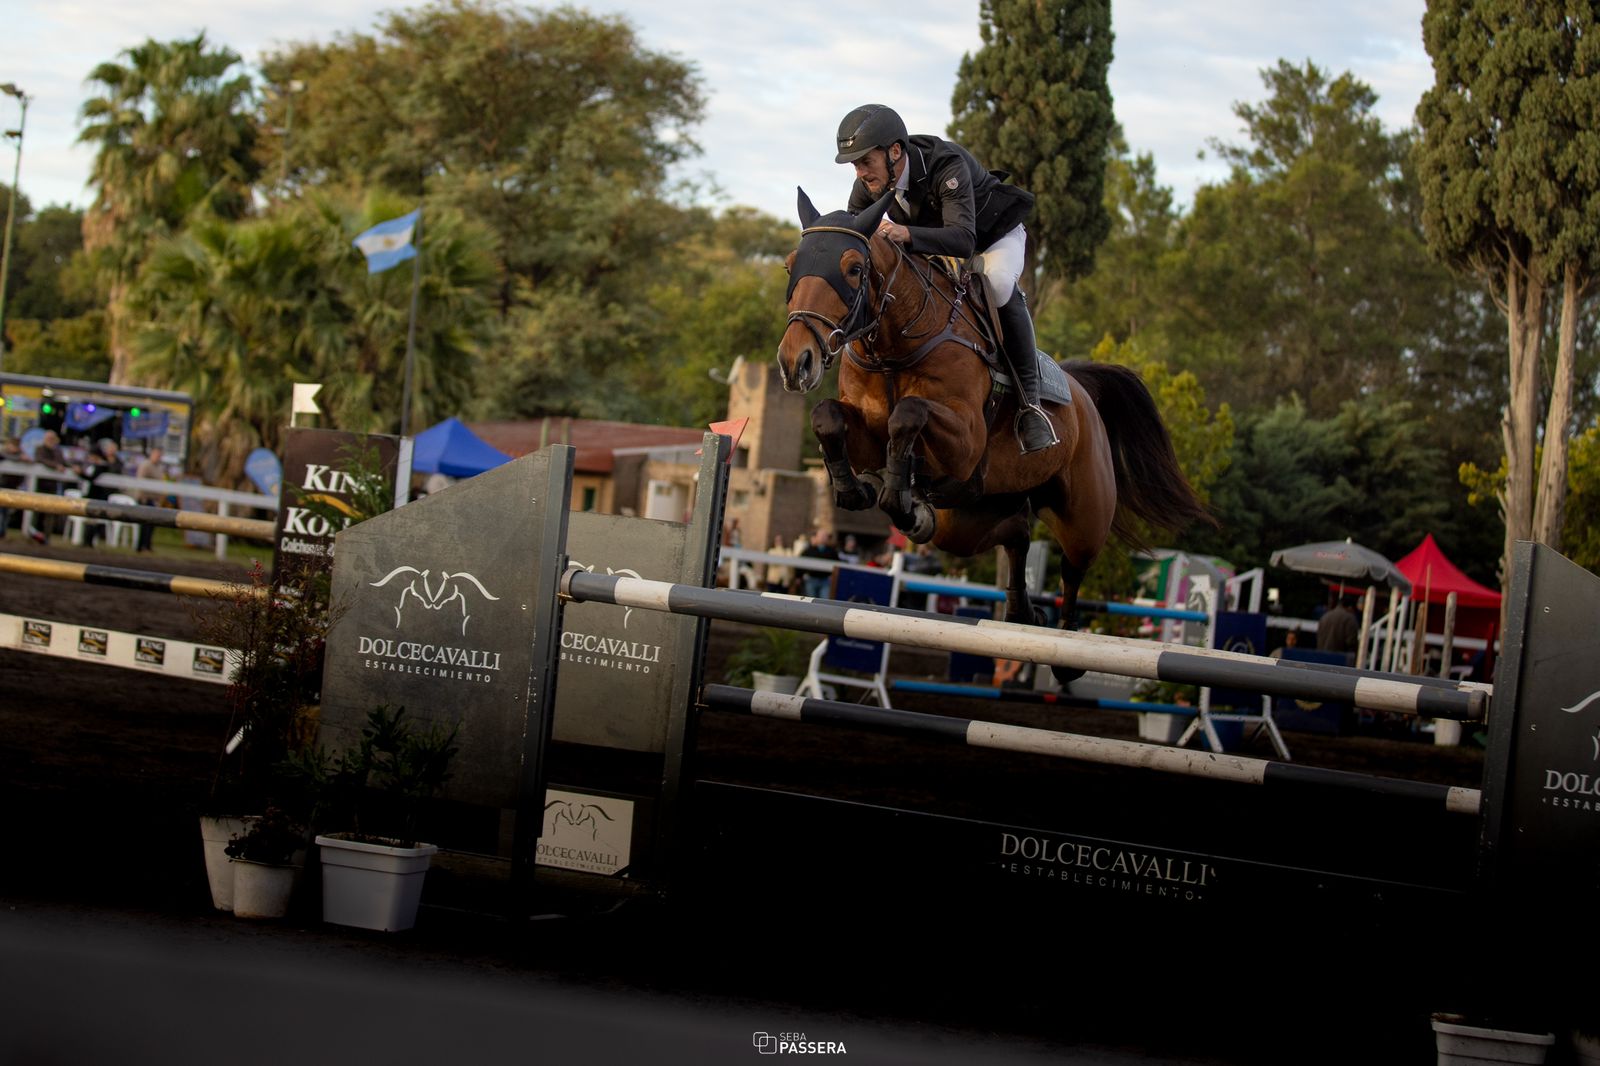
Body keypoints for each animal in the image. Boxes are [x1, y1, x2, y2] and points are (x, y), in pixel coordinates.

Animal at [774, 189, 1209, 681]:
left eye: (852, 268)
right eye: (790, 266)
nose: (795, 362)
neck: (894, 344)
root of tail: (1082, 392)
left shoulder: (964, 443)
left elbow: (908, 413)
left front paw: (895, 494)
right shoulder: (867, 429)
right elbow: (827, 415)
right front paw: (857, 489)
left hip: (1083, 516)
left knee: (1072, 568)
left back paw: (1066, 654)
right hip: (970, 515)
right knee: (1016, 533)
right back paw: (1019, 609)